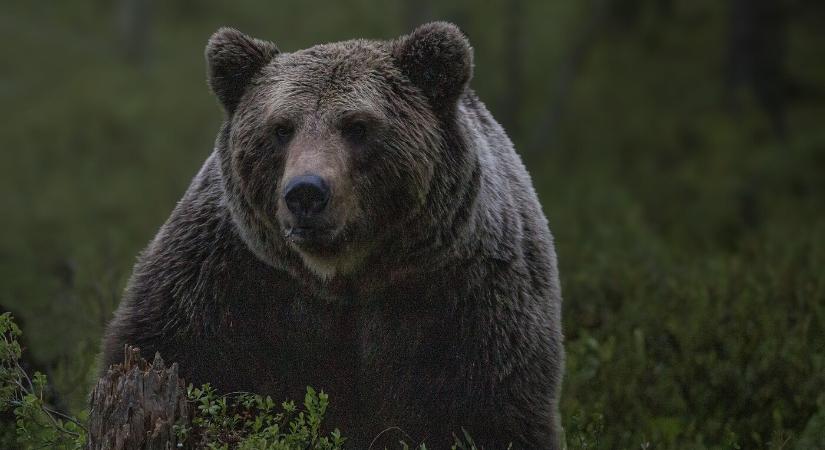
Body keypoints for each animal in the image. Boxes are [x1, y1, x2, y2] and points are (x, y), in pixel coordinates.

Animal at [101, 22, 568, 448]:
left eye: (357, 126)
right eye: (281, 128)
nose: (306, 193)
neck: (342, 275)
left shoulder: (467, 297)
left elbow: (491, 412)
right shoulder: (225, 280)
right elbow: (173, 353)